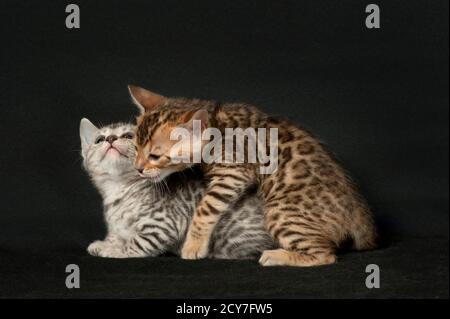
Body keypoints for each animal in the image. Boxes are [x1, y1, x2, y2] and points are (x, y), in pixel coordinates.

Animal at [79, 119, 272, 258]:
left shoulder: (163, 224)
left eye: (128, 136)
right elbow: (116, 234)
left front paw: (115, 251)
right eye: (99, 140)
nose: (110, 139)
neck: (119, 188)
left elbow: (136, 243)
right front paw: (106, 243)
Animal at [128, 84, 378, 268]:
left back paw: (276, 256)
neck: (216, 125)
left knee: (326, 255)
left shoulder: (233, 173)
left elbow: (205, 209)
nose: (138, 168)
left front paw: (193, 246)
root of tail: (358, 213)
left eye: (154, 155)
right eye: (135, 147)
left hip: (282, 212)